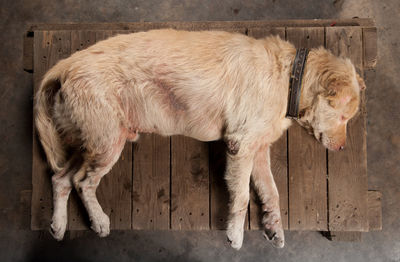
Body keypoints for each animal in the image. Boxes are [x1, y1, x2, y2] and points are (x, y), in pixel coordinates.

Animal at [34, 29, 366, 250]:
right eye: (343, 117)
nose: (342, 147)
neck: (288, 78)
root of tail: (65, 65)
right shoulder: (241, 145)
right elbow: (242, 196)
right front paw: (235, 235)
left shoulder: (258, 149)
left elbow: (271, 193)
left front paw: (274, 229)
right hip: (107, 141)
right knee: (82, 181)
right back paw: (100, 221)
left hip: (91, 139)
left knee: (61, 178)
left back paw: (58, 226)